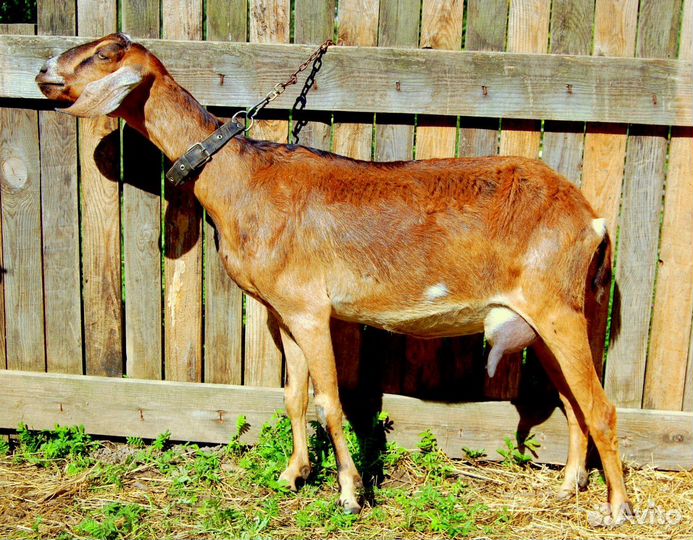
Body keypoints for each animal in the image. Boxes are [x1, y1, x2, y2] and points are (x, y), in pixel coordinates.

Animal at [36, 33, 631, 520]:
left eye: (106, 53)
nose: (43, 71)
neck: (241, 179)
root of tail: (592, 218)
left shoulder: (310, 309)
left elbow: (330, 402)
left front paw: (349, 494)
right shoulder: (283, 314)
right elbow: (293, 397)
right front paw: (292, 475)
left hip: (557, 308)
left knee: (601, 407)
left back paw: (617, 509)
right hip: (549, 316)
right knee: (573, 403)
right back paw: (569, 486)